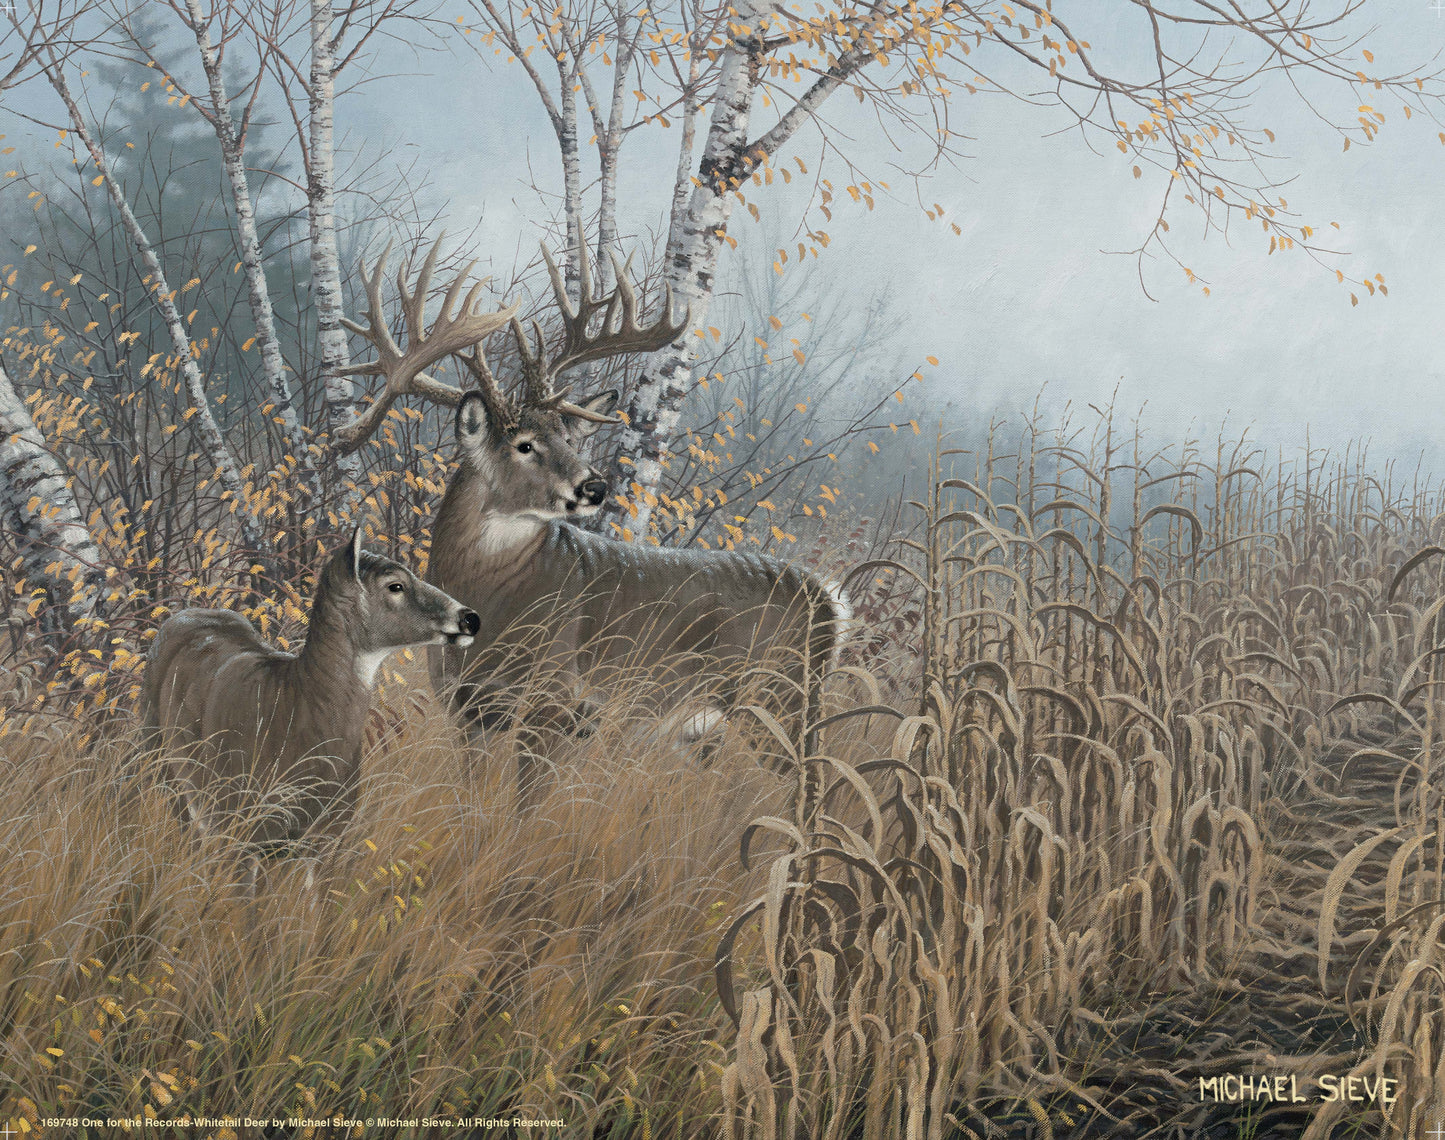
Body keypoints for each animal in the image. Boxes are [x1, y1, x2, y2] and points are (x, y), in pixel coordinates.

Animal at [339, 237, 850, 802]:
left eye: (570, 436)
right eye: (525, 444)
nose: (595, 486)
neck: (495, 598)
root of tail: (831, 600)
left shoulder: (555, 699)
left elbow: (523, 808)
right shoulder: (466, 707)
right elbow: (470, 802)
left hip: (778, 699)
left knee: (817, 788)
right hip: (714, 727)